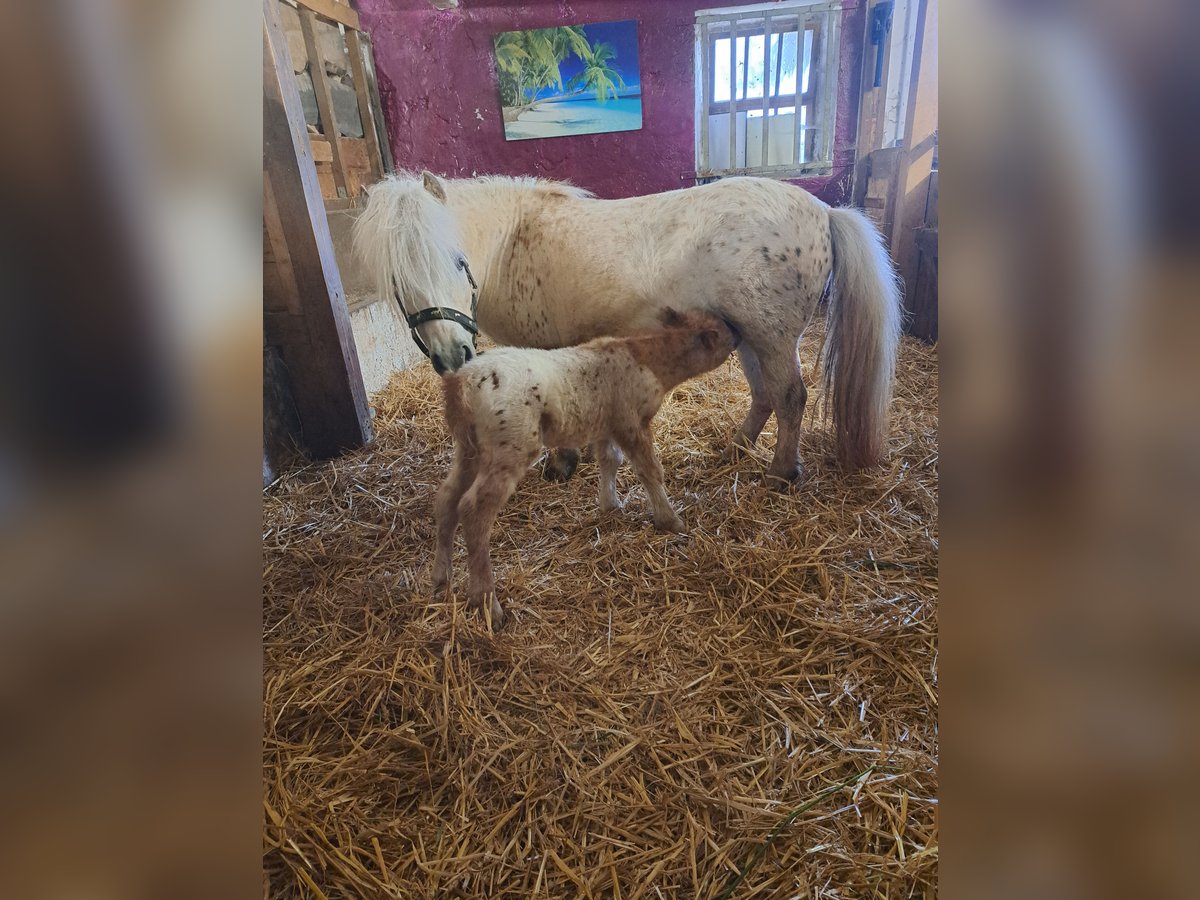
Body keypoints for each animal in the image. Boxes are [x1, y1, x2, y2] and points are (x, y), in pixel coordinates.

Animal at [355, 171, 902, 482]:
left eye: (457, 260)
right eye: (398, 282)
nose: (451, 357)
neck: (512, 242)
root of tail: (824, 210)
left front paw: (560, 465)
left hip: (771, 337)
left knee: (790, 398)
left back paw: (782, 472)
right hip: (751, 336)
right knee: (765, 395)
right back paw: (737, 445)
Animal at [436, 309, 734, 628]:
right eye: (722, 331)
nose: (738, 334)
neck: (650, 358)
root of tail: (460, 384)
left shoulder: (606, 423)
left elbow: (610, 459)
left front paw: (610, 505)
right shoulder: (630, 421)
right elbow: (649, 470)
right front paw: (669, 520)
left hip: (470, 449)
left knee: (448, 500)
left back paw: (441, 580)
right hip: (510, 445)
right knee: (473, 510)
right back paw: (487, 603)